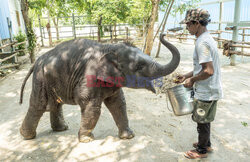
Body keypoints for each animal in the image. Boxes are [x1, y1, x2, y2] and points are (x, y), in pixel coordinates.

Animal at [19, 34, 180, 142]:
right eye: (139, 66)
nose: (163, 34)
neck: (109, 48)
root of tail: (37, 61)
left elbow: (119, 103)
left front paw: (129, 136)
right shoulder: (88, 77)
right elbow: (92, 107)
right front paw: (86, 140)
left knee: (55, 104)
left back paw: (61, 129)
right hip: (40, 79)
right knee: (38, 105)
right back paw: (27, 136)